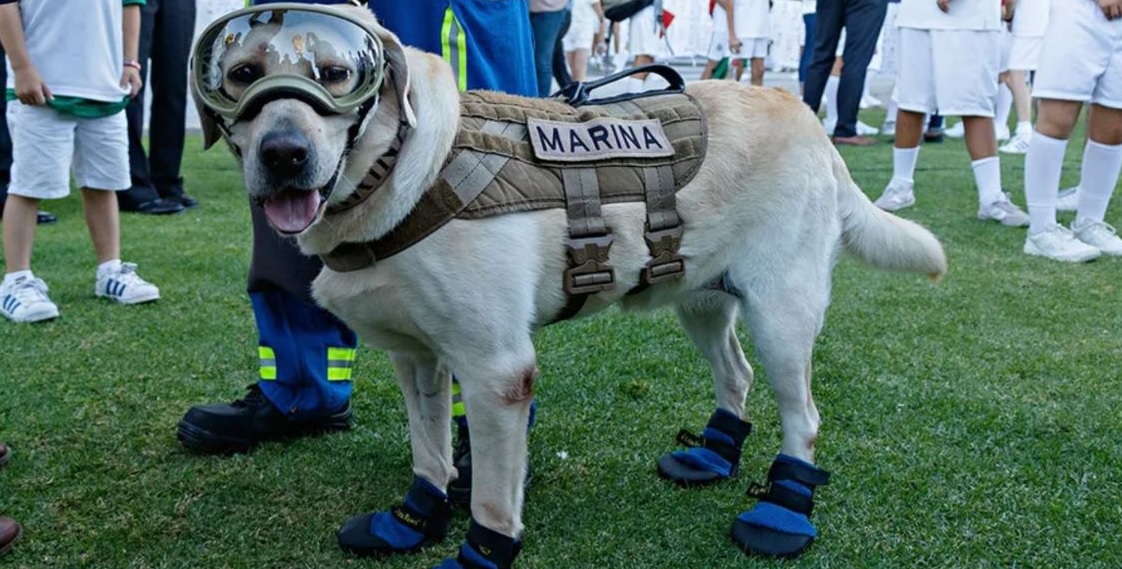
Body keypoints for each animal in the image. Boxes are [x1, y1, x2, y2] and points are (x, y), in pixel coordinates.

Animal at [192, 2, 946, 567]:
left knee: (804, 418)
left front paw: (478, 554)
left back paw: (784, 512)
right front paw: (411, 520)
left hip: (782, 313)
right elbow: (430, 454)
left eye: (337, 73)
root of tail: (806, 115)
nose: (284, 155)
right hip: (703, 298)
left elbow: (492, 499)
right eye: (242, 75)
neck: (401, 170)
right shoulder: (419, 358)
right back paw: (713, 454)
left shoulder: (498, 371)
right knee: (736, 373)